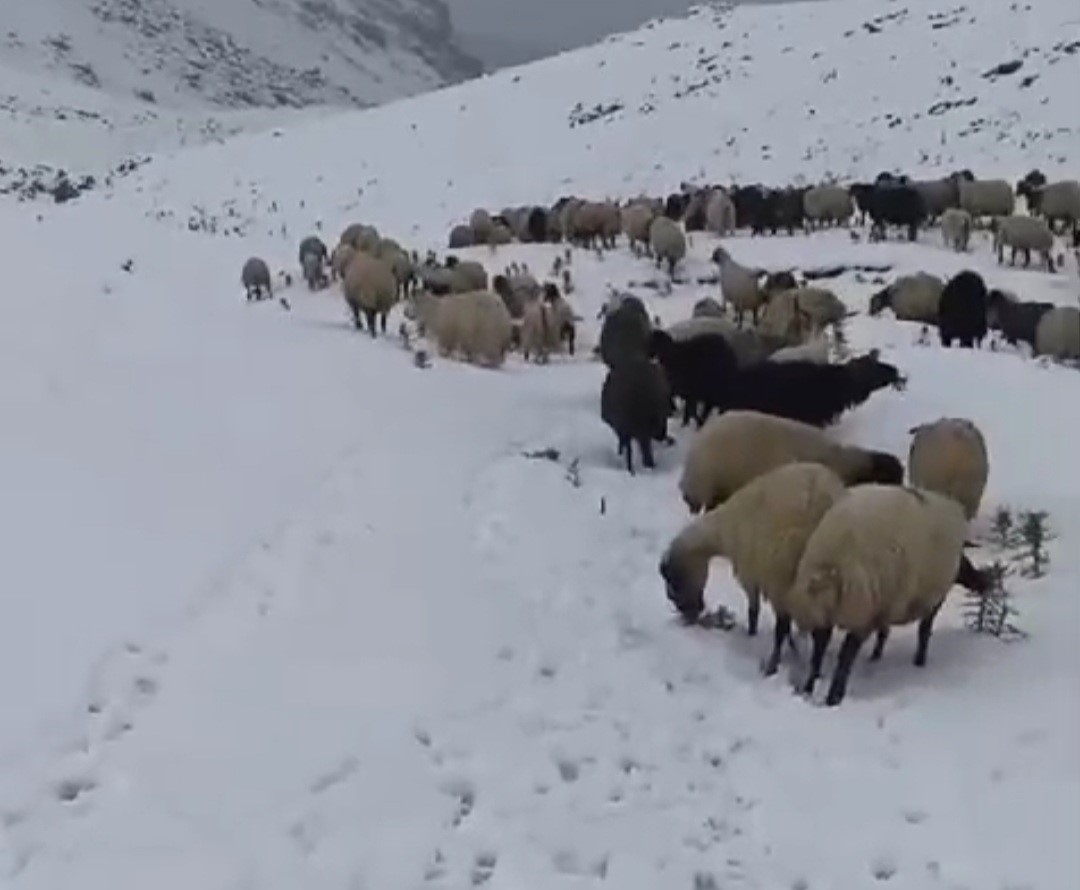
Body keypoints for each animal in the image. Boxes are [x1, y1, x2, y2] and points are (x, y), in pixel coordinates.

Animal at [660, 462, 846, 665]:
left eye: (675, 580)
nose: (689, 615)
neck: (724, 530)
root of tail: (823, 500)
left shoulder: (749, 573)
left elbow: (754, 610)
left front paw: (751, 634)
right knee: (822, 634)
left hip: (784, 576)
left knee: (787, 627)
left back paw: (774, 662)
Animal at [781, 483, 989, 704]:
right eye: (967, 564)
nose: (987, 584)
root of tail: (830, 567)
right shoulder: (922, 600)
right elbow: (922, 631)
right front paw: (918, 661)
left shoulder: (881, 606)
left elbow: (883, 632)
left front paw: (876, 656)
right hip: (861, 607)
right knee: (846, 655)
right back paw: (834, 697)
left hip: (837, 612)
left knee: (819, 651)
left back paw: (810, 688)